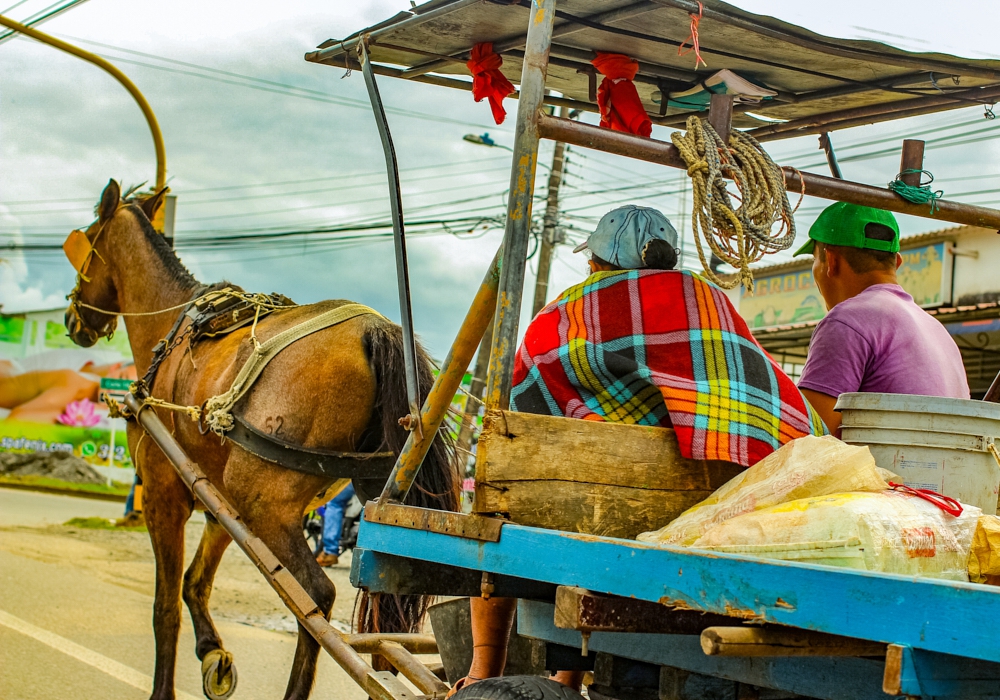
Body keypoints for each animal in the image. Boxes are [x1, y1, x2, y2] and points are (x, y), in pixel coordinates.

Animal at [67, 180, 460, 700]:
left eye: (87, 240)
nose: (72, 320)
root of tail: (377, 330)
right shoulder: (219, 501)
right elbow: (194, 582)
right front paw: (213, 654)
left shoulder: (163, 492)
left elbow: (165, 604)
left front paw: (163, 688)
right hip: (372, 502)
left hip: (265, 505)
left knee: (316, 600)